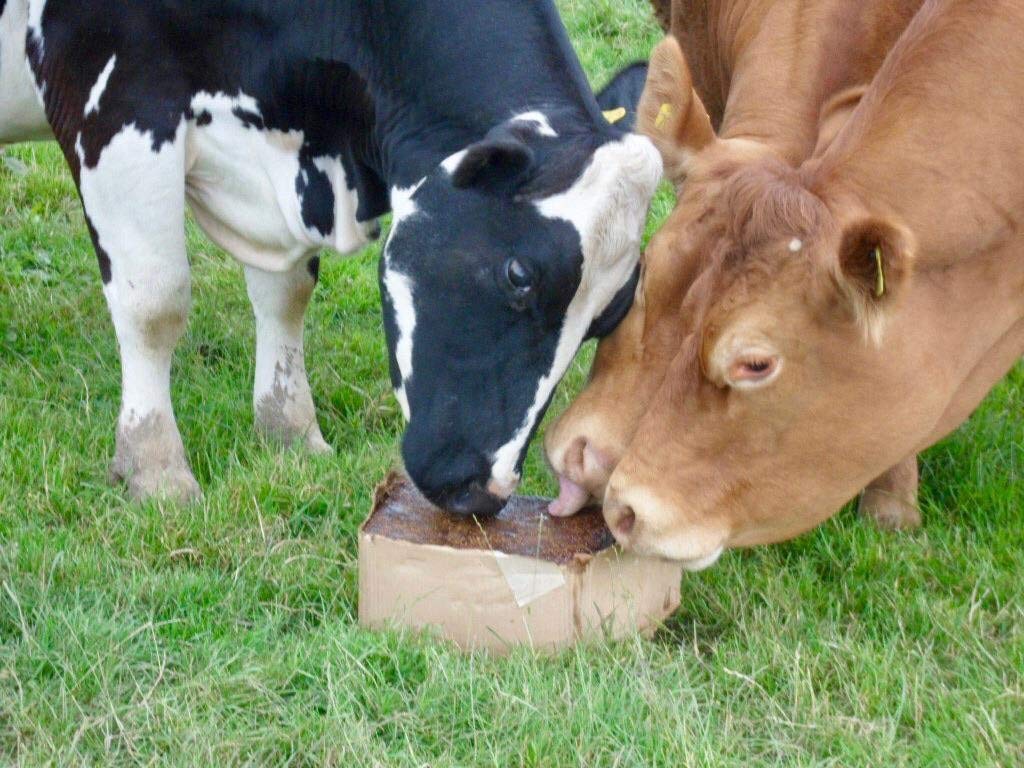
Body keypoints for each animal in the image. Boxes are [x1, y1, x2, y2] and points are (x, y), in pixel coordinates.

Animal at [0, 0, 662, 515]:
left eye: (606, 319)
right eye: (519, 273)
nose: (483, 493)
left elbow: (286, 292)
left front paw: (290, 431)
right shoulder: (114, 90)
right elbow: (155, 302)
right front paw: (155, 469)